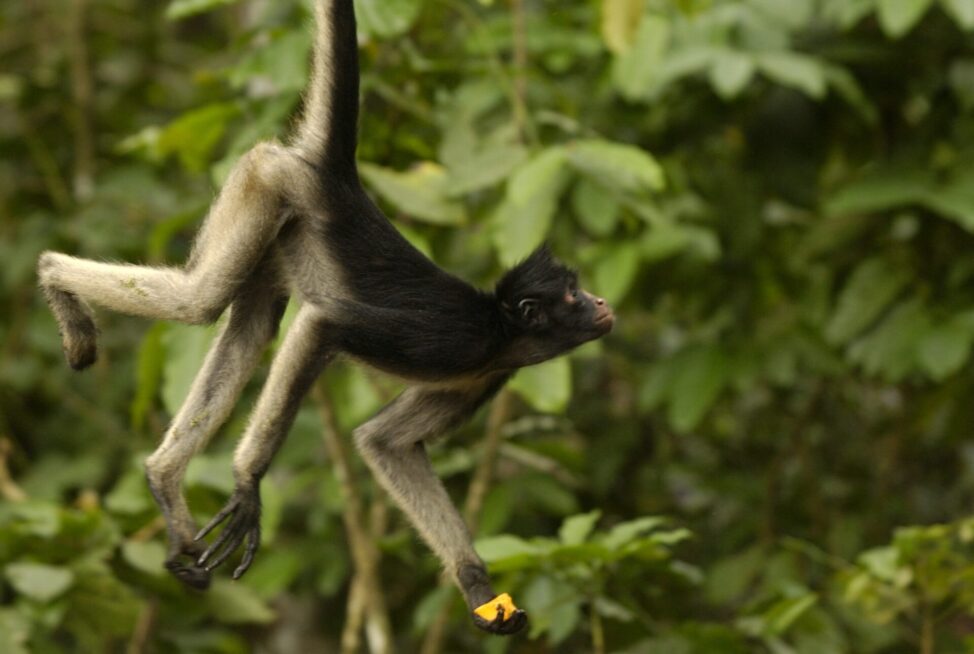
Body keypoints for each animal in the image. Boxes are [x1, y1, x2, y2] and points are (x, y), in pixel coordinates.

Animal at [43, 0, 616, 640]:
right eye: (572, 295)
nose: (600, 303)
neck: (504, 332)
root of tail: (336, 179)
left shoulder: (485, 372)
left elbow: (385, 443)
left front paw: (478, 590)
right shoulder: (459, 341)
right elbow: (326, 326)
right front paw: (248, 485)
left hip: (275, 219)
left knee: (250, 326)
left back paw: (163, 479)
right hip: (267, 180)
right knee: (200, 302)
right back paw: (52, 275)